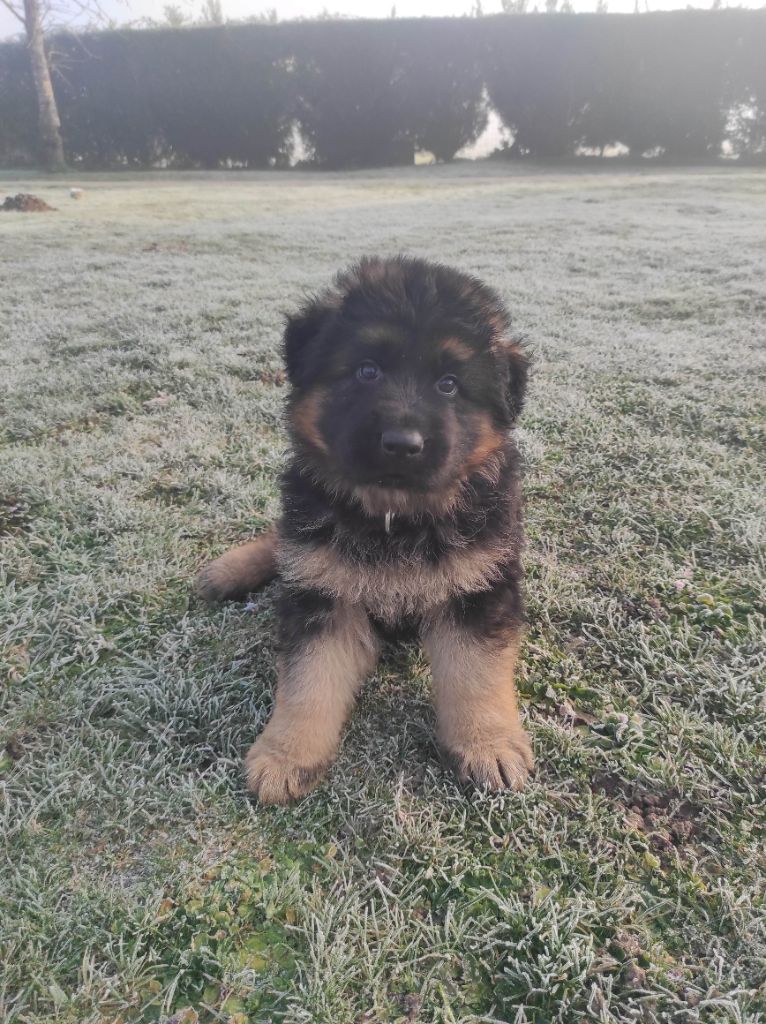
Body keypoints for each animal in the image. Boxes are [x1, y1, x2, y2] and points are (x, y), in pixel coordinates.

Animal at [196, 255, 533, 804]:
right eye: (367, 370)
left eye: (449, 383)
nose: (402, 443)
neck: (394, 518)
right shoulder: (321, 593)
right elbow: (309, 680)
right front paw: (285, 755)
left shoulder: (479, 587)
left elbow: (475, 674)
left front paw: (490, 745)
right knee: (280, 537)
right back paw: (227, 570)